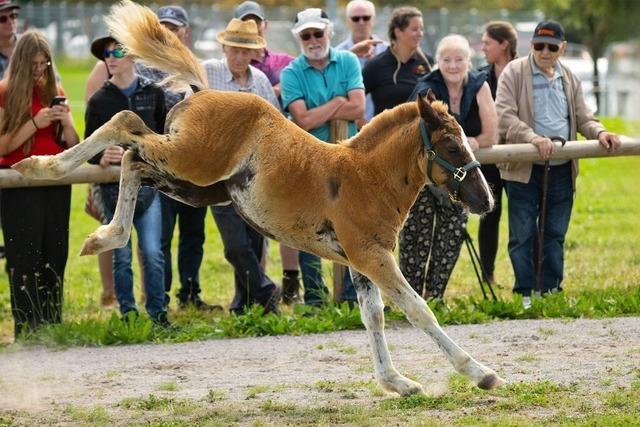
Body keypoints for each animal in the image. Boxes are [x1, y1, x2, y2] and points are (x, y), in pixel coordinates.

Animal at [13, 1, 504, 398]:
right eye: (453, 146)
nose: (485, 201)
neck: (365, 177)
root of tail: (204, 89)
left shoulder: (358, 260)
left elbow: (374, 317)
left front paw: (396, 382)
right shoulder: (374, 256)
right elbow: (418, 310)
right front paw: (480, 373)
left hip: (195, 184)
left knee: (133, 160)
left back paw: (102, 234)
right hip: (189, 162)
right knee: (125, 123)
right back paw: (43, 167)